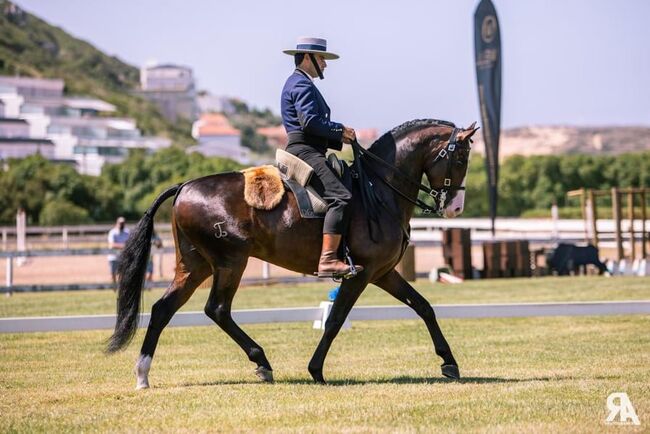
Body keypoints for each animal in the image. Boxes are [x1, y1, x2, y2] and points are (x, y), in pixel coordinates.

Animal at [107, 119, 476, 390]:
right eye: (459, 159)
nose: (456, 208)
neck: (378, 190)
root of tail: (184, 186)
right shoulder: (361, 274)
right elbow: (335, 319)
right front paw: (316, 370)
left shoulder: (383, 272)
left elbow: (424, 307)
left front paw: (449, 362)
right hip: (231, 262)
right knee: (217, 309)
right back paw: (261, 362)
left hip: (196, 265)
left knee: (163, 309)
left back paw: (143, 374)